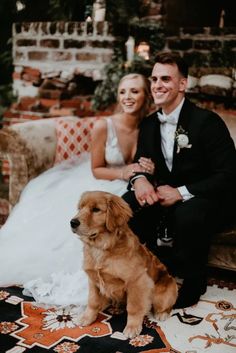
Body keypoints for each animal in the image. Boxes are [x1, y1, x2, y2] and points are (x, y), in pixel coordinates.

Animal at [70, 191, 177, 336]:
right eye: (80, 208)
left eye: (96, 209)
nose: (72, 222)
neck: (101, 247)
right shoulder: (93, 280)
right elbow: (92, 302)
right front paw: (87, 318)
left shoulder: (137, 281)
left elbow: (134, 307)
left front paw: (132, 327)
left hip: (161, 292)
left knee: (165, 305)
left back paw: (162, 313)